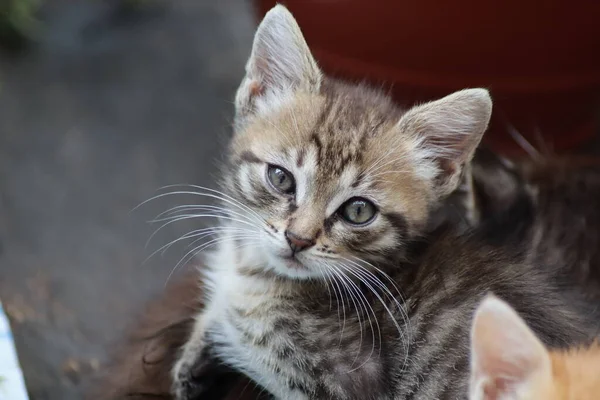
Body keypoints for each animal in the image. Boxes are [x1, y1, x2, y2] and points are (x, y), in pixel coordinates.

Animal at [171, 5, 596, 400]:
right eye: (281, 178)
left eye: (358, 211)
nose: (297, 240)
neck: (256, 275)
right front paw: (193, 359)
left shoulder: (346, 383)